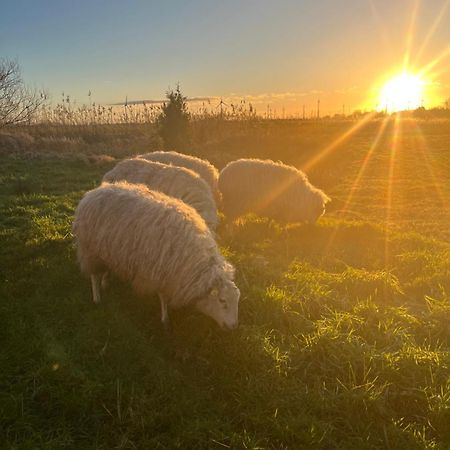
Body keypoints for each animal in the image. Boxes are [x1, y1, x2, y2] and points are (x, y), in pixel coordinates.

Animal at [72, 182, 239, 330]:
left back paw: (105, 282)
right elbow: (163, 298)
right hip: (90, 249)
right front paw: (165, 320)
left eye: (237, 301)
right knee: (93, 275)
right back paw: (97, 298)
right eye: (222, 301)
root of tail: (92, 192)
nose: (233, 326)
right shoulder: (160, 274)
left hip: (107, 249)